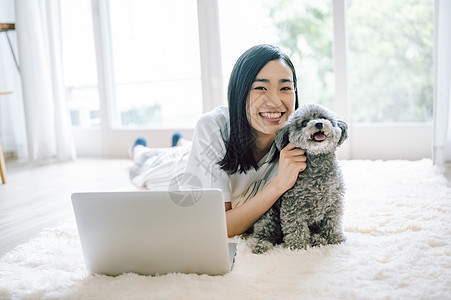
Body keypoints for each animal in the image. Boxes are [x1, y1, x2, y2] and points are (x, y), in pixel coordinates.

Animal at [247, 103, 350, 253]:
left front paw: (335, 238)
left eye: (324, 118)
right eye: (304, 122)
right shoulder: (294, 204)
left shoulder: (334, 203)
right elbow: (296, 226)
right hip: (270, 215)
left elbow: (332, 222)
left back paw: (318, 239)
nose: (319, 123)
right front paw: (298, 245)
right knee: (263, 233)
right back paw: (261, 244)